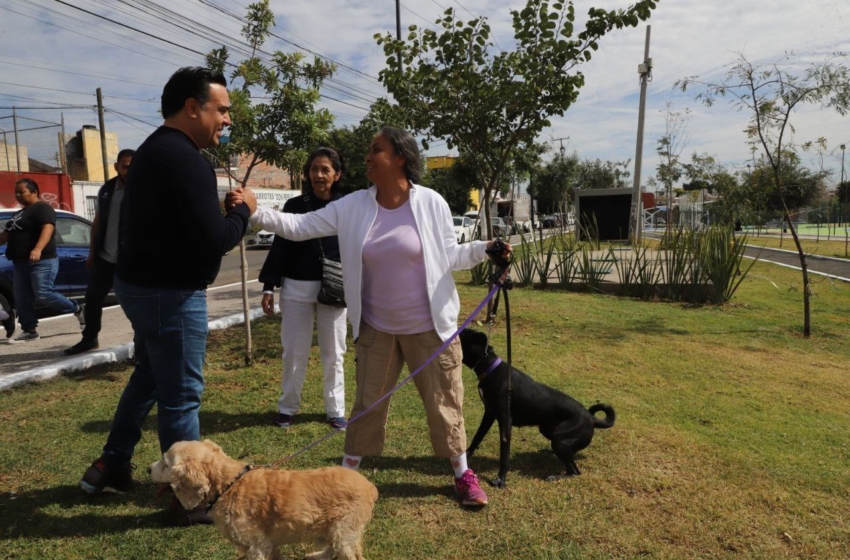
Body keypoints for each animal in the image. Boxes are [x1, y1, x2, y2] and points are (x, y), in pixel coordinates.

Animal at [458, 328, 616, 486]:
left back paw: (554, 477)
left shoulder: (505, 421)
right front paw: (466, 456)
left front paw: (501, 479)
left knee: (574, 471)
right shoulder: (489, 414)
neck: (489, 367)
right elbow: (478, 436)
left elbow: (504, 454)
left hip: (560, 440)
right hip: (548, 430)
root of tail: (591, 418)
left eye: (460, 335)